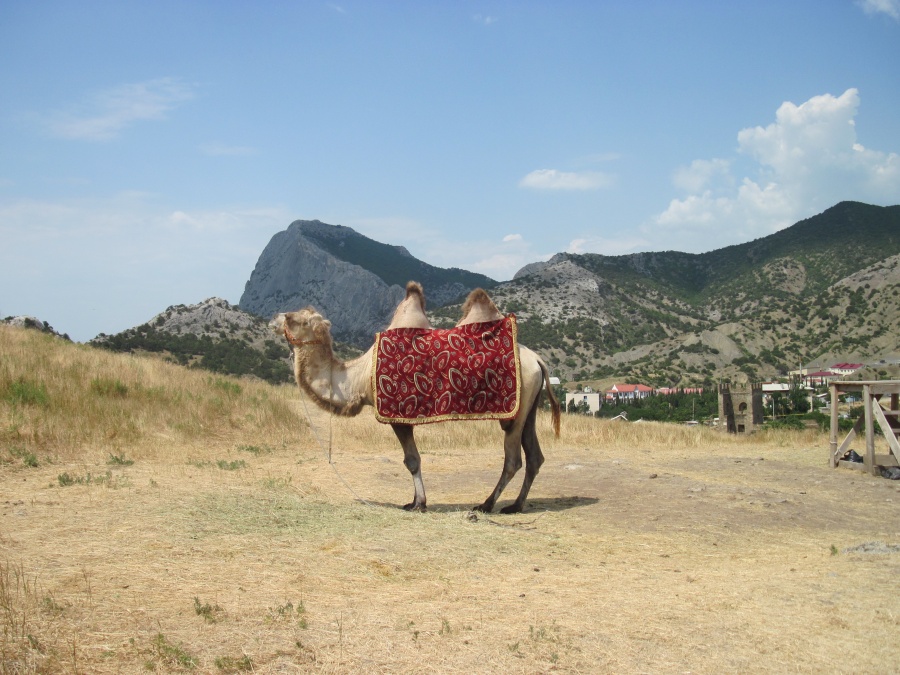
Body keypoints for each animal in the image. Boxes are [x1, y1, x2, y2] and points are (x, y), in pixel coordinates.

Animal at [270, 282, 560, 516]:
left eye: (299, 319)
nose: (274, 317)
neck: (360, 377)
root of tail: (537, 359)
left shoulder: (396, 415)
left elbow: (412, 460)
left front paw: (419, 504)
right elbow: (412, 460)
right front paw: (414, 501)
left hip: (515, 412)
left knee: (513, 460)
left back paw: (487, 504)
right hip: (529, 406)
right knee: (534, 456)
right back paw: (516, 506)